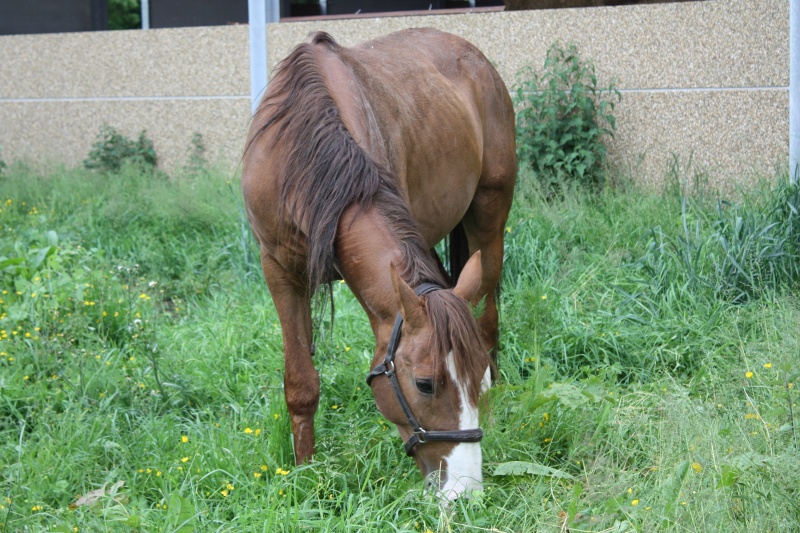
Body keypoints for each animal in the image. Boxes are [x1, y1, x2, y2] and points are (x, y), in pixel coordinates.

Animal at [244, 29, 516, 498]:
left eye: (475, 376)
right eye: (425, 383)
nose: (465, 492)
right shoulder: (279, 270)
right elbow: (301, 383)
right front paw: (304, 474)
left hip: (490, 215)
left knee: (488, 318)